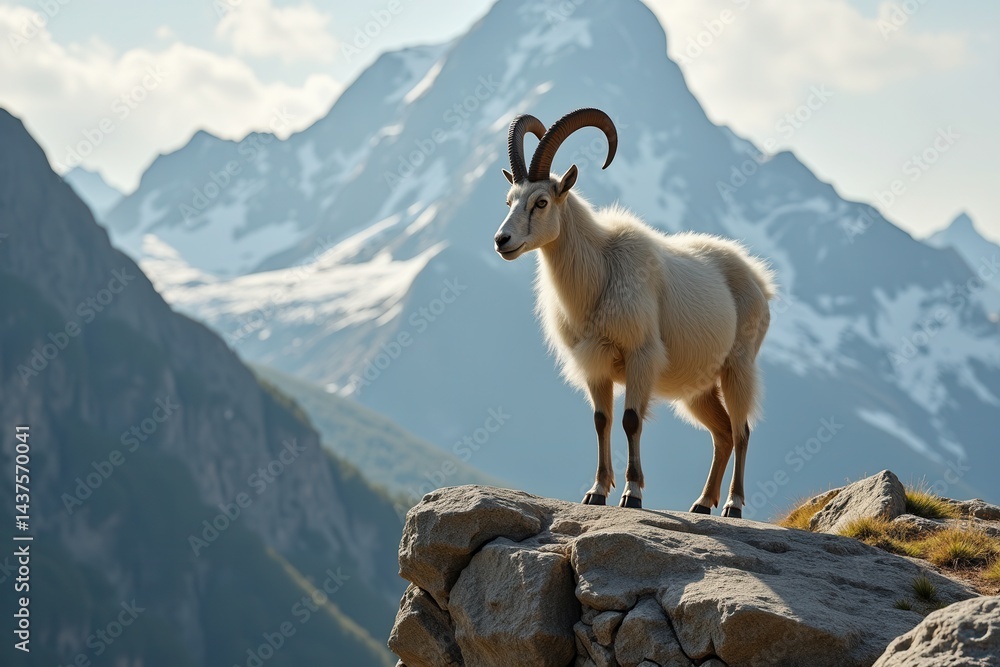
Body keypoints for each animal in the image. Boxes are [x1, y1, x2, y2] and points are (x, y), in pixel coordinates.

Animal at [493, 108, 775, 516]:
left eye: (541, 201)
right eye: (509, 200)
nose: (502, 241)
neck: (601, 270)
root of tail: (761, 282)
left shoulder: (640, 356)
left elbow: (630, 421)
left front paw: (633, 493)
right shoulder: (595, 364)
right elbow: (601, 420)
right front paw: (596, 491)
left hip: (737, 367)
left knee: (742, 430)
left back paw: (732, 505)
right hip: (699, 387)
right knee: (721, 433)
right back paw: (701, 503)